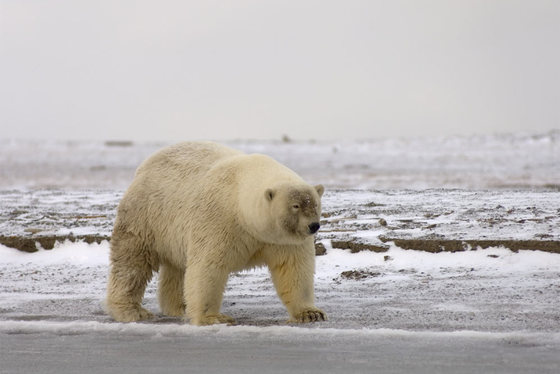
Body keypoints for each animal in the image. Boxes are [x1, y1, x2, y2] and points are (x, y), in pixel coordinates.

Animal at [105, 142, 326, 326]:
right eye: (296, 206)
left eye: (315, 204)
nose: (313, 226)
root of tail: (144, 165)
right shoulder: (219, 220)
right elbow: (207, 267)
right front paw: (214, 317)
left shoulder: (281, 240)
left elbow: (294, 269)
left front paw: (310, 314)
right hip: (146, 216)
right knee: (132, 263)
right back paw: (131, 311)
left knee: (177, 268)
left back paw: (180, 306)